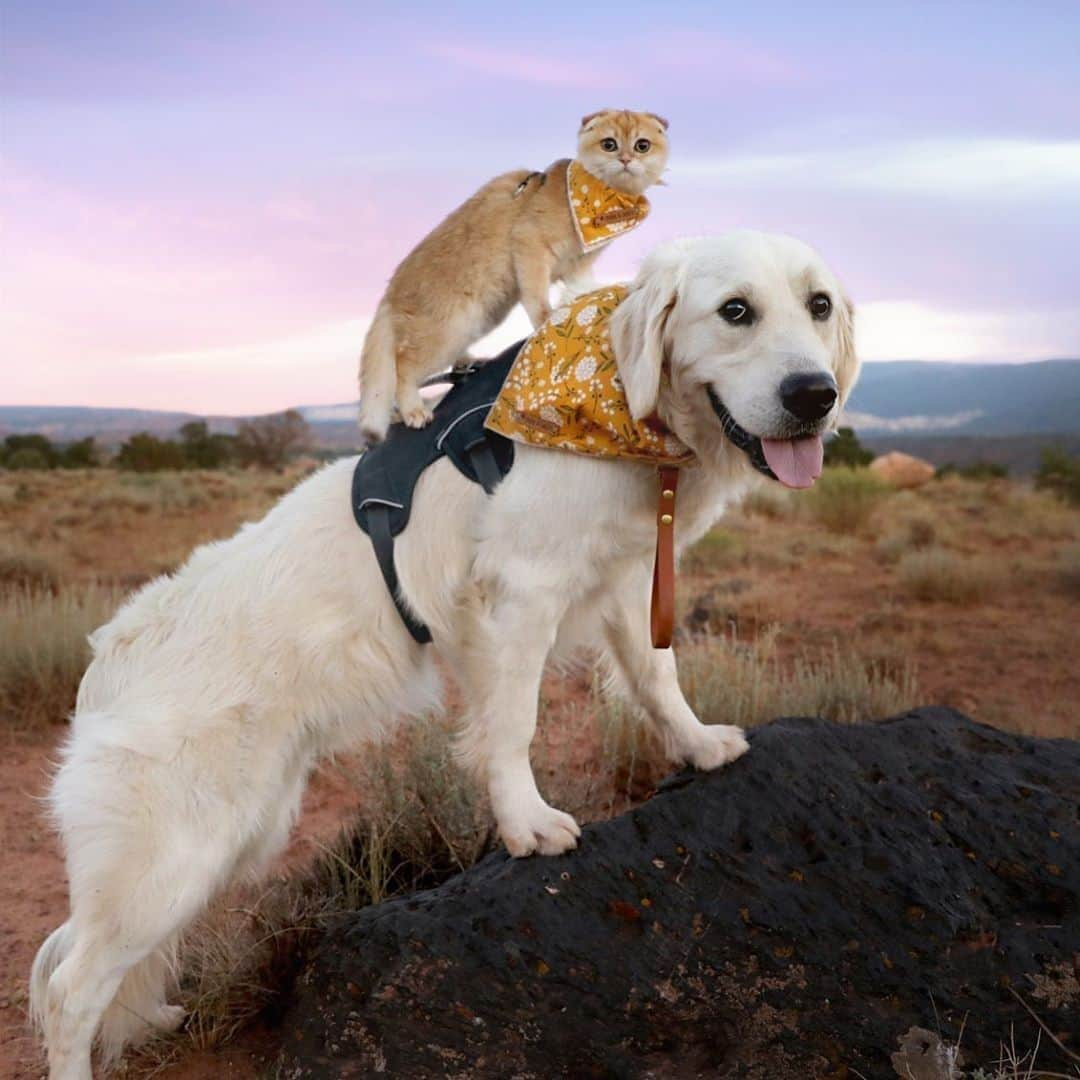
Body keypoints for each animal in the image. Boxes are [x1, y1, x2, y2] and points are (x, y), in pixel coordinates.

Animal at [358, 110, 669, 442]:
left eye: (642, 145)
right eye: (609, 144)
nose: (626, 159)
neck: (599, 205)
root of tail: (390, 291)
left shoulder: (578, 264)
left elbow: (581, 285)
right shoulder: (529, 244)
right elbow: (537, 298)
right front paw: (547, 320)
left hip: (481, 317)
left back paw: (468, 360)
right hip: (447, 327)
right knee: (403, 366)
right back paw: (413, 411)